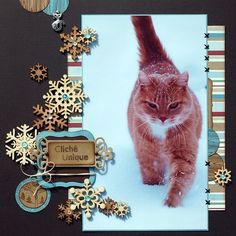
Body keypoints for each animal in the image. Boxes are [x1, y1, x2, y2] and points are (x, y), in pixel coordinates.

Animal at [128, 15, 202, 206]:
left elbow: (179, 182)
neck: (161, 136)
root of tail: (157, 60)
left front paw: (169, 205)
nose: (162, 117)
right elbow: (152, 178)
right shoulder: (148, 157)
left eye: (173, 106)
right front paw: (151, 192)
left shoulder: (183, 155)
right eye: (152, 105)